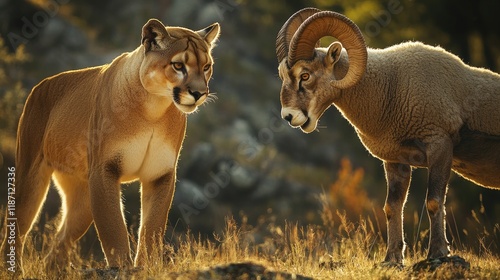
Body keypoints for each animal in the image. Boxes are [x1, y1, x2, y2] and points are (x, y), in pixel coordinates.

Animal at [278, 8, 500, 266]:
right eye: (283, 74)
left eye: (305, 75)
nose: (289, 116)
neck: (391, 88)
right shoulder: (396, 162)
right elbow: (392, 208)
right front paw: (392, 259)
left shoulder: (439, 147)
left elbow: (434, 202)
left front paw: (437, 253)